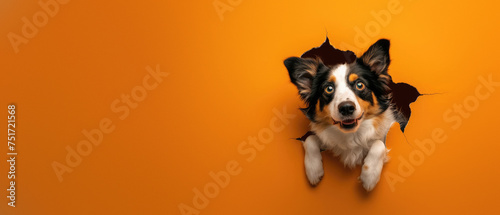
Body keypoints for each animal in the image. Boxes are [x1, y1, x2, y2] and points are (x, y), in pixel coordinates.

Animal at [284, 39, 396, 191]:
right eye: (329, 88)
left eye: (360, 85)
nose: (346, 108)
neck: (351, 134)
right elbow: (310, 139)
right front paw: (313, 170)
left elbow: (379, 144)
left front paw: (369, 176)